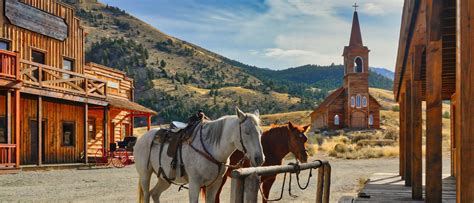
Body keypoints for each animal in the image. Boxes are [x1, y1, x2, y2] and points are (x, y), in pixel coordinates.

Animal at [135, 107, 264, 202]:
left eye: (261, 132)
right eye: (247, 132)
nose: (259, 159)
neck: (212, 149)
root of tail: (141, 138)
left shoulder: (214, 184)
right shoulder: (195, 184)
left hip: (164, 178)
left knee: (155, 194)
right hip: (145, 175)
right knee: (147, 195)